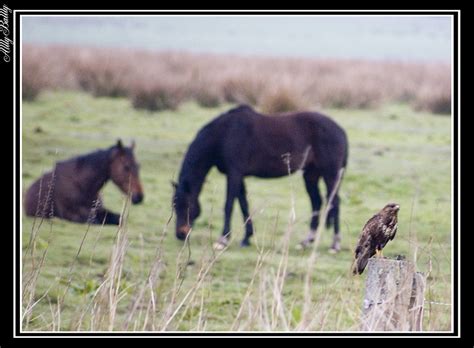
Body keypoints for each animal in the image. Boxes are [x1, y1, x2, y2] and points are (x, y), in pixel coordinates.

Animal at [173, 104, 348, 251]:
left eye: (186, 205)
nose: (180, 234)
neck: (224, 134)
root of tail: (340, 131)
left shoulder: (234, 173)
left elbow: (229, 205)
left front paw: (222, 240)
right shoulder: (238, 176)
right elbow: (243, 204)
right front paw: (246, 238)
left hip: (330, 174)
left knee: (335, 202)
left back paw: (335, 244)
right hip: (311, 175)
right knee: (317, 202)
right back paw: (306, 241)